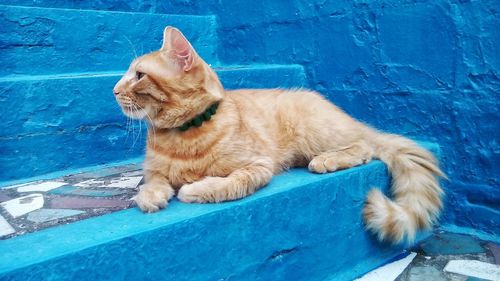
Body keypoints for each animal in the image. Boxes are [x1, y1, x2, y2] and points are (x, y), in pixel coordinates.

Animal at [114, 26, 446, 243]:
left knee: (364, 146)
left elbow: (228, 183)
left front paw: (193, 189)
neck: (184, 136)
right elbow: (153, 182)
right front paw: (150, 196)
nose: (114, 90)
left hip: (317, 131)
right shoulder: (152, 172)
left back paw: (326, 160)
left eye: (139, 76)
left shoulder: (257, 166)